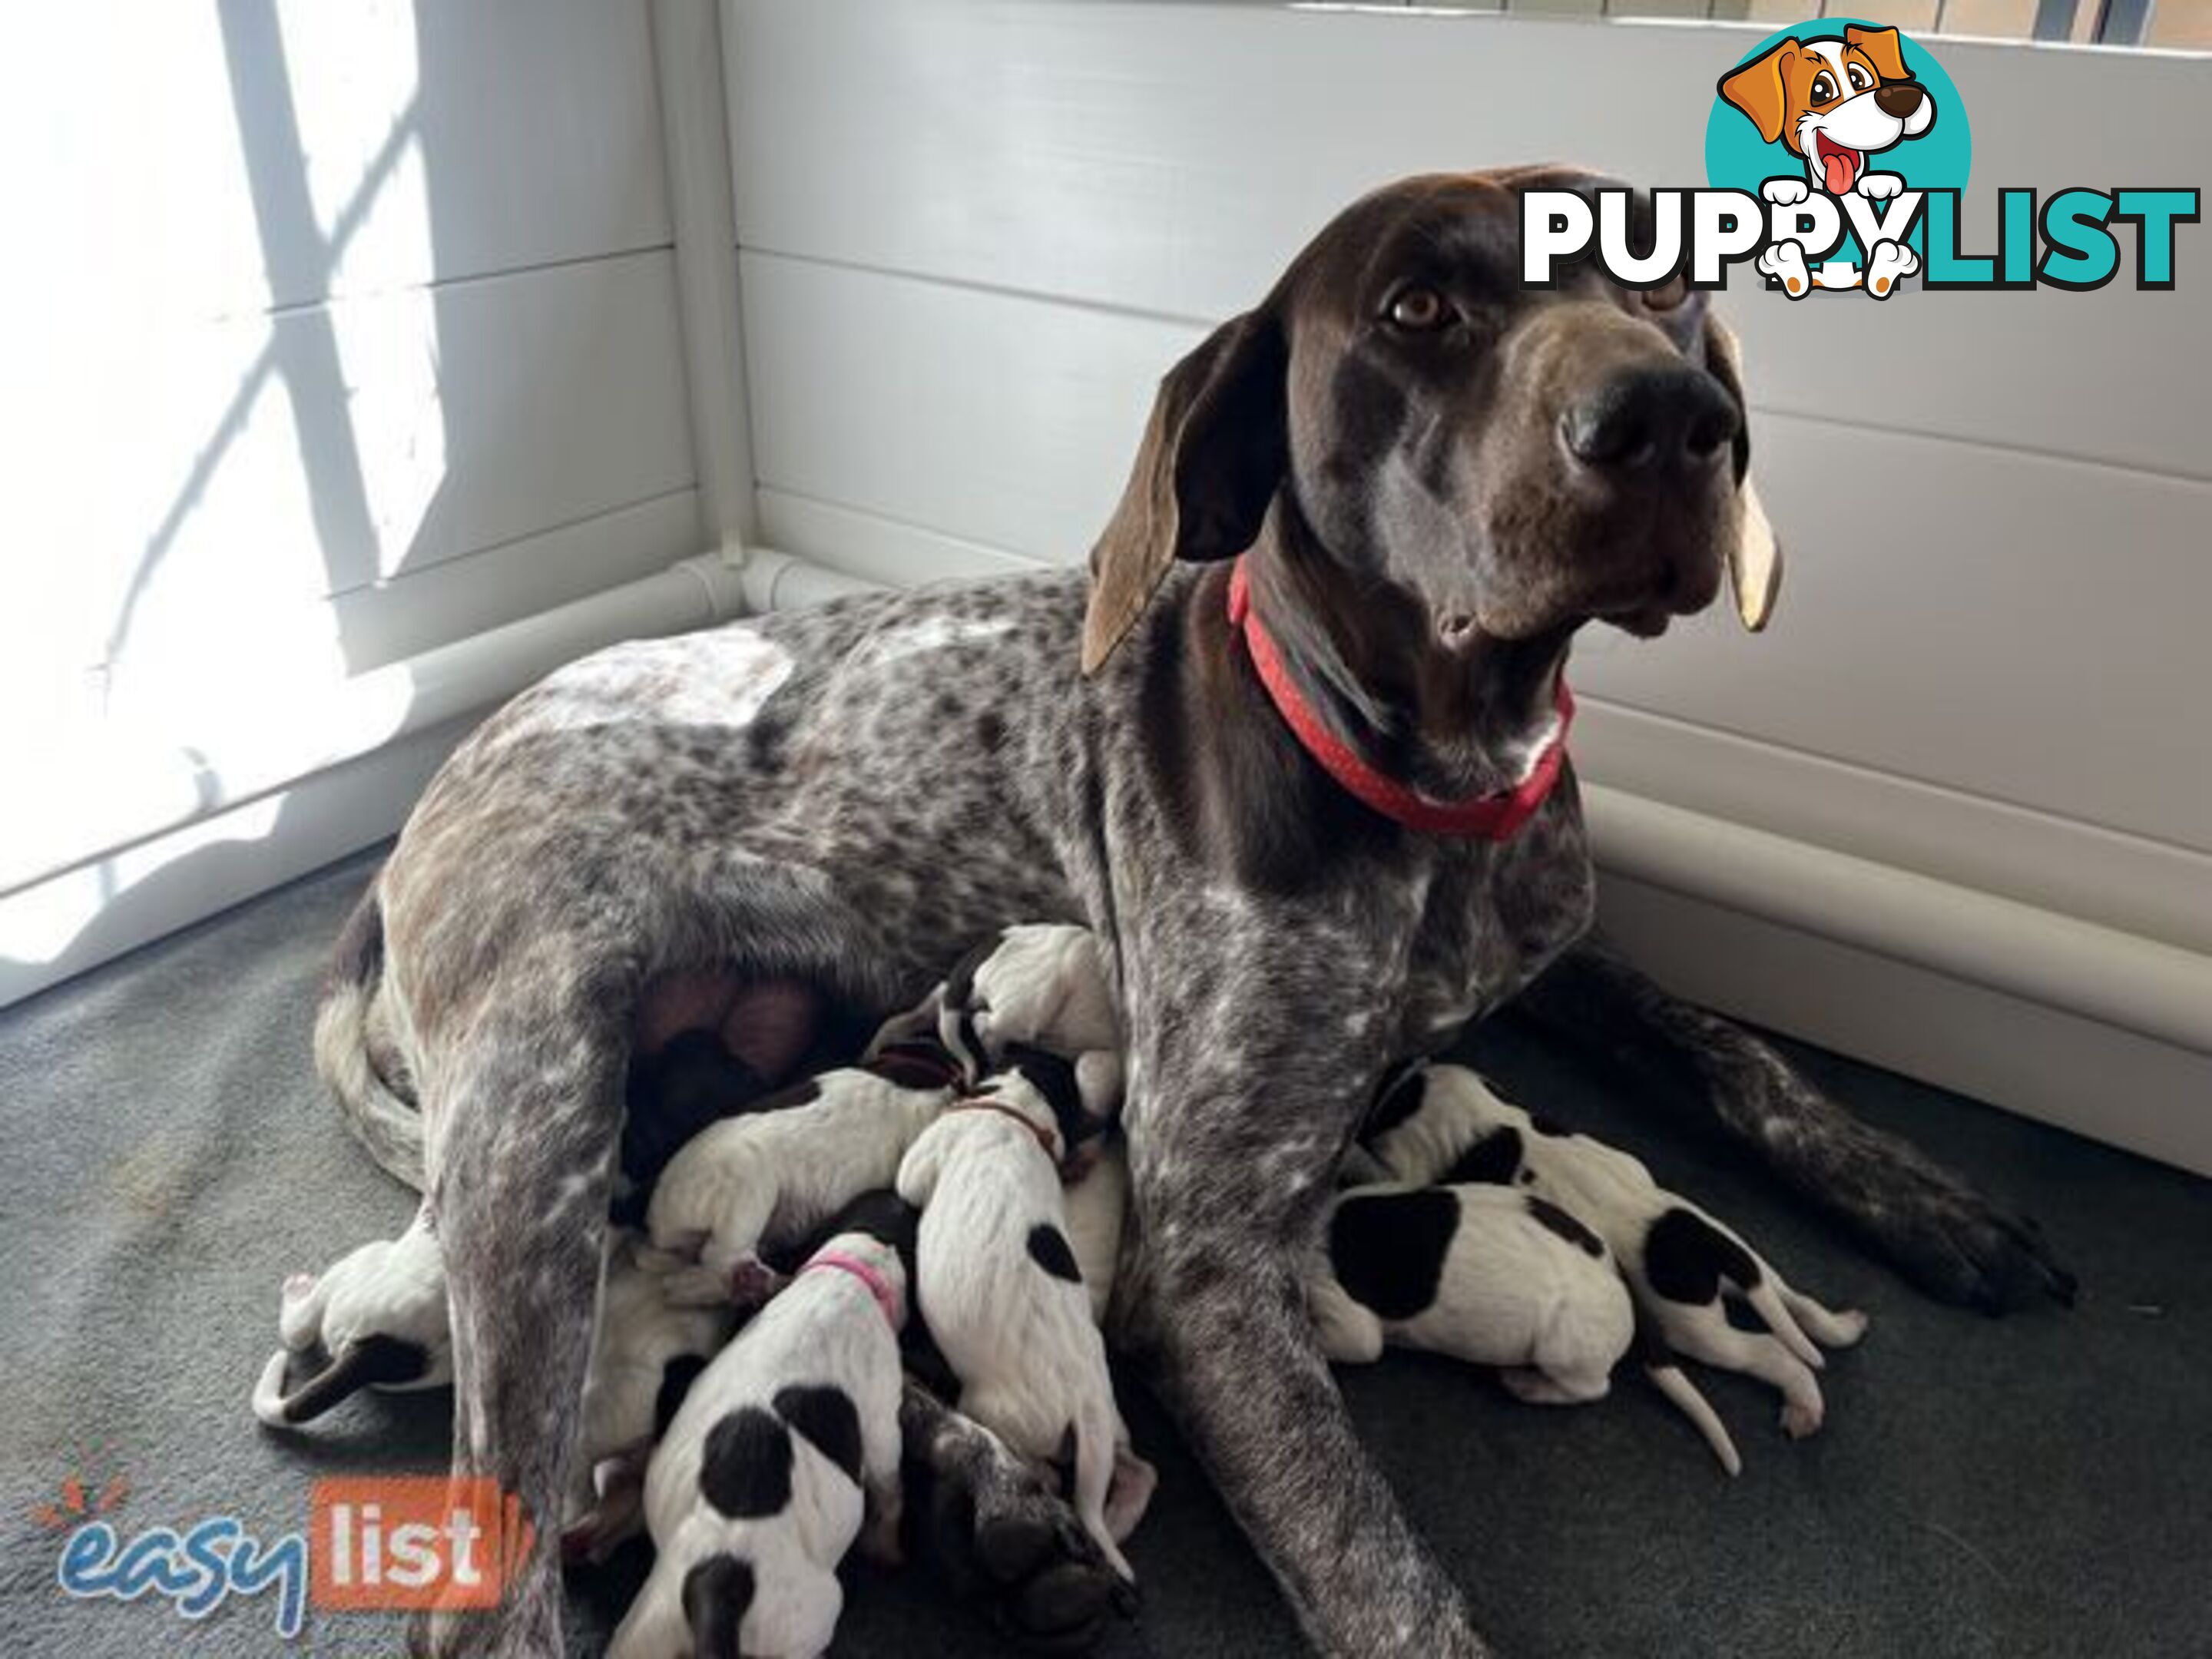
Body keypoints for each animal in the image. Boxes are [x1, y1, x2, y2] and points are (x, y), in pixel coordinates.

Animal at [606, 1220, 906, 1659]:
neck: (842, 1278)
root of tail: (716, 1583)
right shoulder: (883, 1428)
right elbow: (890, 1489)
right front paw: (886, 1546)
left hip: (648, 1629)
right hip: (808, 1618)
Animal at [893, 1066, 1150, 1584]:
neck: (1013, 1114)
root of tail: (1083, 1405)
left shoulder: (921, 1161)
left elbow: (907, 1180)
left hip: (993, 1409)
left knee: (1039, 1466)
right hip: (1109, 1425)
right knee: (1137, 1471)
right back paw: (1118, 1514)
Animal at [1363, 1070, 1866, 1451]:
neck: (1490, 1117)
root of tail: (1706, 1242)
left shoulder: (1413, 1166)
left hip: (1695, 1327)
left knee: (1769, 1352)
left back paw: (1802, 1403)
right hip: (1747, 1260)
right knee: (1795, 1301)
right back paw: (1841, 1328)